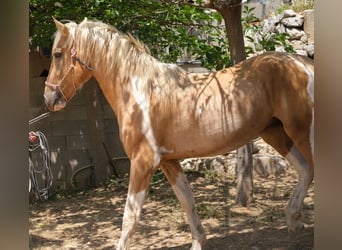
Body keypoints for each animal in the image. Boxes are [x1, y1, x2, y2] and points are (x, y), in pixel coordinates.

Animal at [44, 18, 314, 249]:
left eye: (57, 54)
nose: (49, 99)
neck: (142, 91)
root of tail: (303, 65)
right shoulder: (168, 162)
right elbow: (187, 200)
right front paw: (198, 241)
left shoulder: (143, 162)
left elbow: (130, 215)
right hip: (276, 134)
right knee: (305, 171)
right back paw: (293, 220)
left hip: (301, 134)